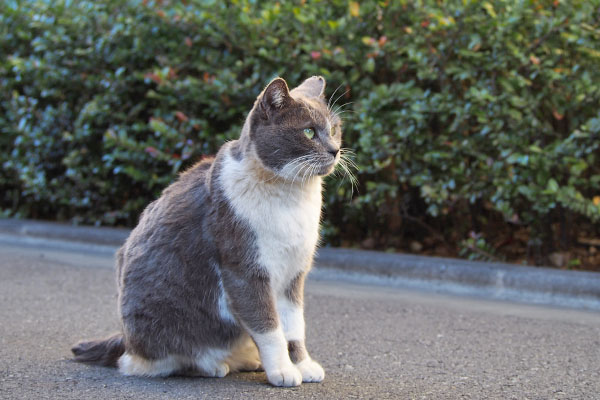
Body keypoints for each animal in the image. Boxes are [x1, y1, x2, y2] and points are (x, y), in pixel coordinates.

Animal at [71, 76, 344, 388]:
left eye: (334, 129)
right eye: (309, 131)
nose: (335, 149)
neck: (292, 199)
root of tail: (124, 339)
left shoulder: (294, 273)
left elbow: (295, 326)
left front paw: (303, 365)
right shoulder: (244, 269)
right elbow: (269, 326)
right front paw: (283, 371)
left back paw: (246, 360)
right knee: (147, 363)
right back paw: (214, 365)